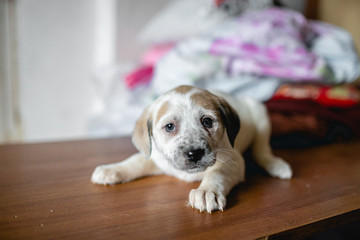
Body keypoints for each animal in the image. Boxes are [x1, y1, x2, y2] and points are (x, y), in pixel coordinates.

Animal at [91, 85, 292, 213]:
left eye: (207, 121)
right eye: (170, 126)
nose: (194, 153)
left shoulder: (233, 161)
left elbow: (216, 173)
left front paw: (207, 192)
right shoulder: (157, 157)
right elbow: (135, 161)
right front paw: (112, 169)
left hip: (261, 116)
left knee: (262, 149)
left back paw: (277, 165)